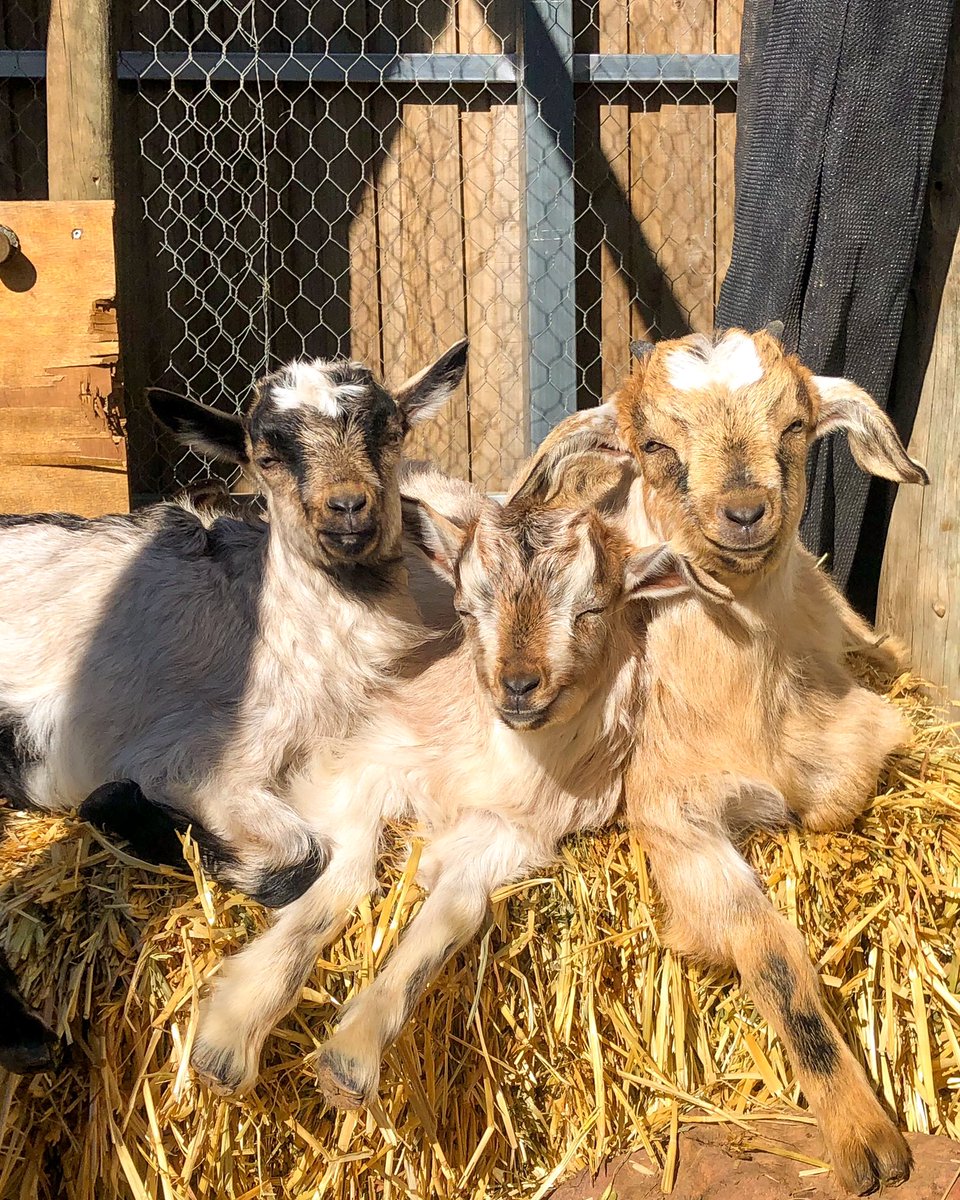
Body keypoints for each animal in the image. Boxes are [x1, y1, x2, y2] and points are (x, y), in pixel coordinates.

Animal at [0, 341, 467, 925]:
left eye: (391, 432)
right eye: (266, 458)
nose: (347, 506)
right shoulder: (187, 757)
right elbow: (300, 859)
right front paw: (113, 807)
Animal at [180, 473, 731, 1098]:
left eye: (593, 608)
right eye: (467, 609)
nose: (518, 686)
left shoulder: (514, 835)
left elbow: (456, 915)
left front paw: (350, 1058)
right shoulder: (364, 759)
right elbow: (346, 873)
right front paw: (227, 1039)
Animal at [522, 325, 926, 1195]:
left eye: (795, 427)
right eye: (654, 445)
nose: (744, 513)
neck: (747, 713)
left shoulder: (866, 726)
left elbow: (836, 797)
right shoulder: (673, 821)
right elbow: (768, 953)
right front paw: (865, 1142)